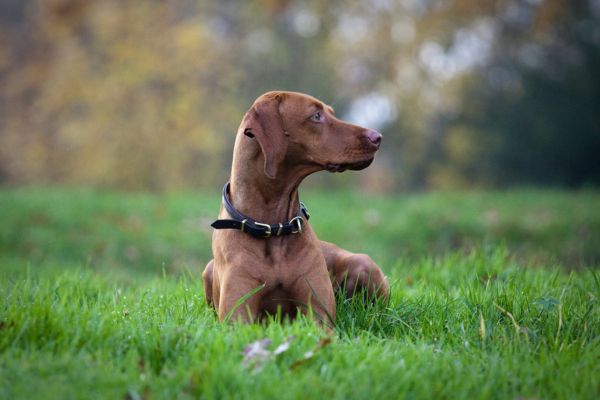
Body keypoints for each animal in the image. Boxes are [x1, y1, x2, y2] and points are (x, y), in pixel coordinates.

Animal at [203, 90, 390, 324]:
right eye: (316, 116)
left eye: (331, 113)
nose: (378, 137)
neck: (273, 228)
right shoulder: (237, 317)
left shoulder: (318, 315)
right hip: (208, 269)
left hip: (363, 264)